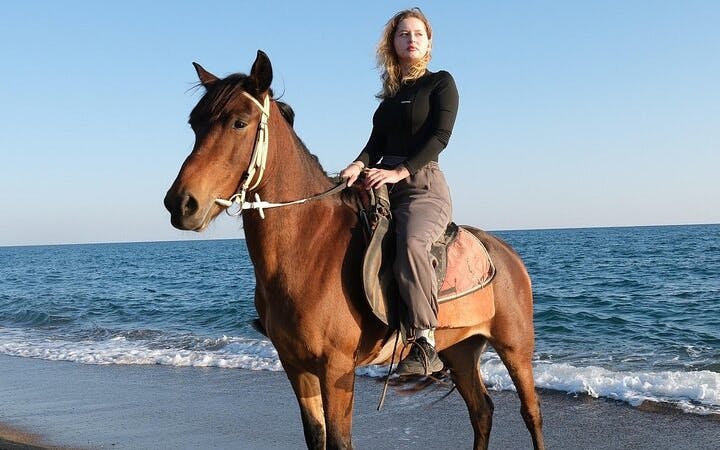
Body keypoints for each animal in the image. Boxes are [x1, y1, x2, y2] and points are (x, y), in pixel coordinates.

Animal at [164, 50, 544, 450]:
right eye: (194, 125)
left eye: (239, 123)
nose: (181, 204)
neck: (309, 248)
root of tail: (506, 253)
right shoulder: (296, 367)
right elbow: (316, 436)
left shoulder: (337, 368)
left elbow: (339, 441)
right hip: (460, 348)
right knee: (481, 411)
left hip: (515, 347)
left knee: (530, 413)